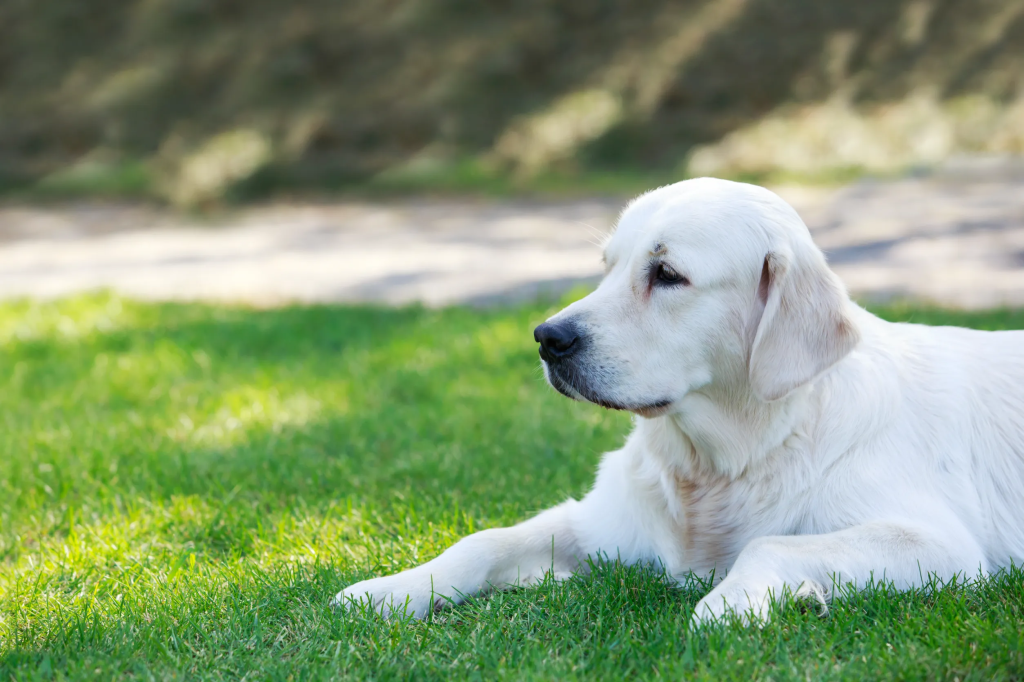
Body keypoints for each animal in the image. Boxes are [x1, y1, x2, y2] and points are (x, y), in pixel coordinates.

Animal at [335, 176, 1024, 622]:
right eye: (607, 267)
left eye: (666, 275)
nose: (548, 339)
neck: (724, 462)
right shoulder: (603, 520)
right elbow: (483, 540)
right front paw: (389, 590)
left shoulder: (939, 545)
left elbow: (770, 542)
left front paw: (729, 602)